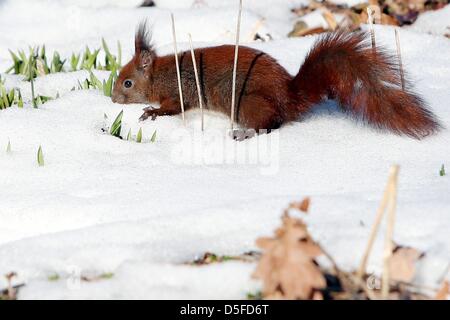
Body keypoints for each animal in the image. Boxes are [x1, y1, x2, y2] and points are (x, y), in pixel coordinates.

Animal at [111, 22, 440, 138]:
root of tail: (290, 97)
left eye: (127, 83)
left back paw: (246, 133)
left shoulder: (178, 91)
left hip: (249, 102)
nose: (112, 98)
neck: (159, 75)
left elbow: (174, 107)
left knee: (272, 123)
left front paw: (152, 112)